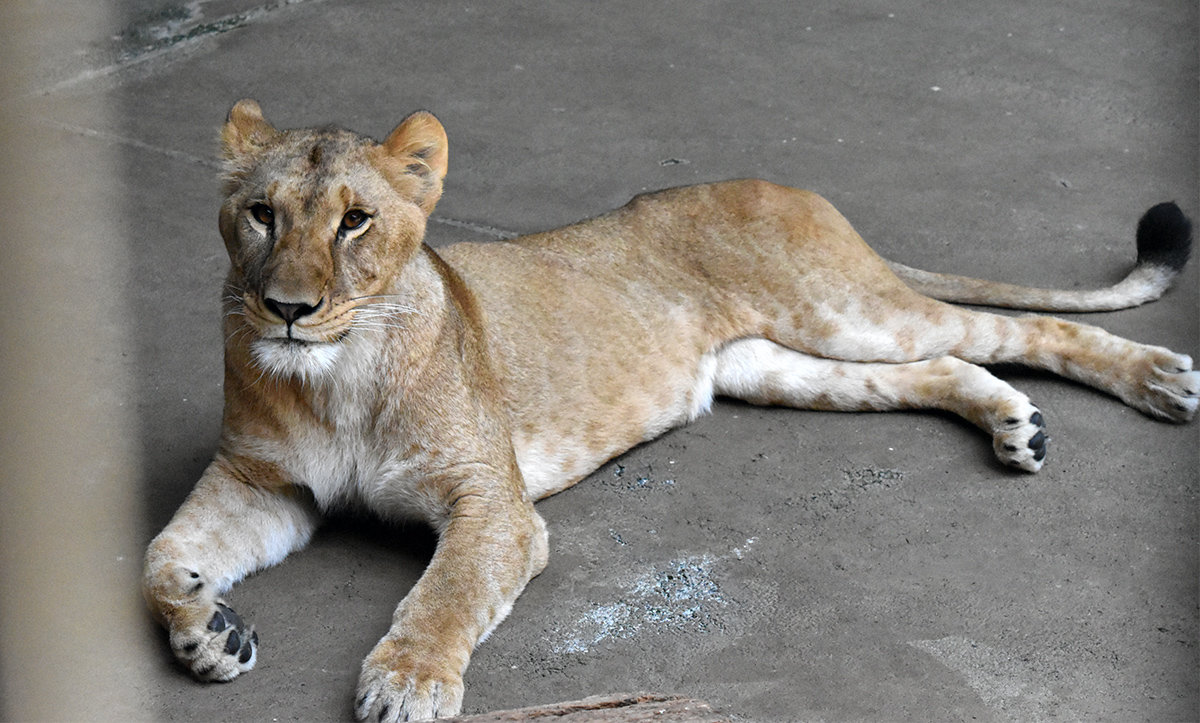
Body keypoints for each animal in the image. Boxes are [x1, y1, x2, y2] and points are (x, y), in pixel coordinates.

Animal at [143, 99, 1197, 721]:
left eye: (355, 221)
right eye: (263, 214)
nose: (287, 308)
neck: (336, 374)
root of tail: (785, 183)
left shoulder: (493, 502)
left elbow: (445, 592)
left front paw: (408, 682)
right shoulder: (267, 483)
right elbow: (159, 558)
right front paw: (210, 631)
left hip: (849, 312)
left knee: (1013, 324)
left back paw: (1159, 381)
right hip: (782, 365)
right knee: (945, 364)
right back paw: (1018, 423)